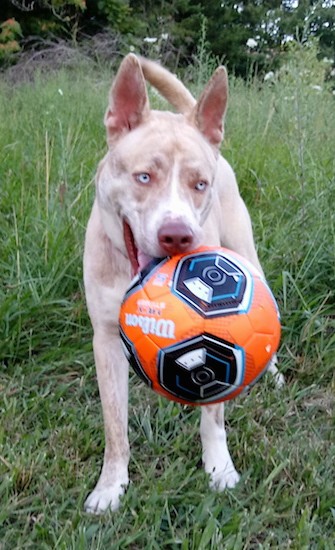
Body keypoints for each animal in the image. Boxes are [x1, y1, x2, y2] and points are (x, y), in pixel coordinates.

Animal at [83, 54, 284, 516]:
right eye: (143, 177)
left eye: (199, 184)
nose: (177, 236)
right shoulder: (105, 338)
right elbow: (114, 424)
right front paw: (111, 486)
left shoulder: (224, 336)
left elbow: (214, 413)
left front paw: (219, 468)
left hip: (248, 257)